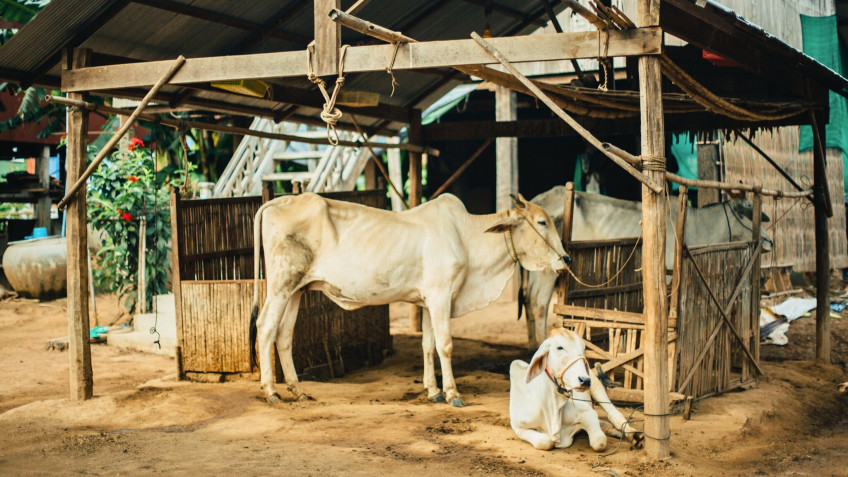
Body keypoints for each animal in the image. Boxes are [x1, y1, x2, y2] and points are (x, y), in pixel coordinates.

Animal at [249, 192, 569, 407]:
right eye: (542, 222)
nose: (565, 259)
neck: (466, 236)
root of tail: (277, 202)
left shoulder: (428, 301)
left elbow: (427, 345)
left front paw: (433, 391)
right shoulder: (441, 296)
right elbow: (445, 346)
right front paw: (452, 393)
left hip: (296, 290)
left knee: (284, 335)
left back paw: (297, 390)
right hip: (280, 285)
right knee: (265, 328)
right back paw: (271, 391)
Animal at [510, 328, 642, 451]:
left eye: (583, 349)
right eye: (559, 347)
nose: (585, 380)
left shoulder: (587, 413)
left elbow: (599, 442)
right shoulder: (518, 427)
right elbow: (545, 442)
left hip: (598, 389)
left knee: (613, 414)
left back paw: (634, 436)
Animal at [521, 186, 773, 349]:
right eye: (749, 210)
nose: (770, 241)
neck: (699, 226)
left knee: (528, 299)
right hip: (548, 269)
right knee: (538, 304)